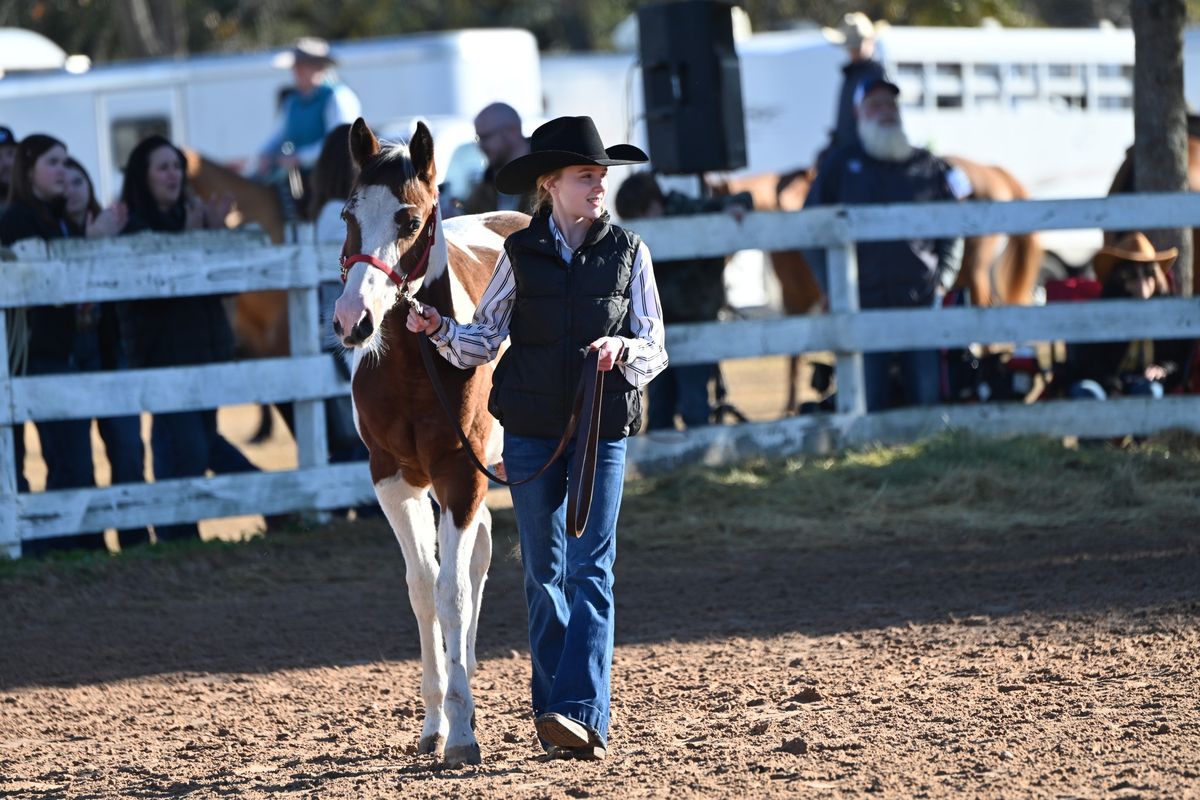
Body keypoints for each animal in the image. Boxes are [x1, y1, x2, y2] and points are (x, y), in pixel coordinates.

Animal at [336, 115, 528, 767]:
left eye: (409, 220)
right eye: (348, 214)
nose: (353, 320)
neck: (414, 367)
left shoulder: (460, 476)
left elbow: (451, 592)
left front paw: (463, 733)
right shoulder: (394, 480)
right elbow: (425, 588)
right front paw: (436, 721)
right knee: (480, 555)